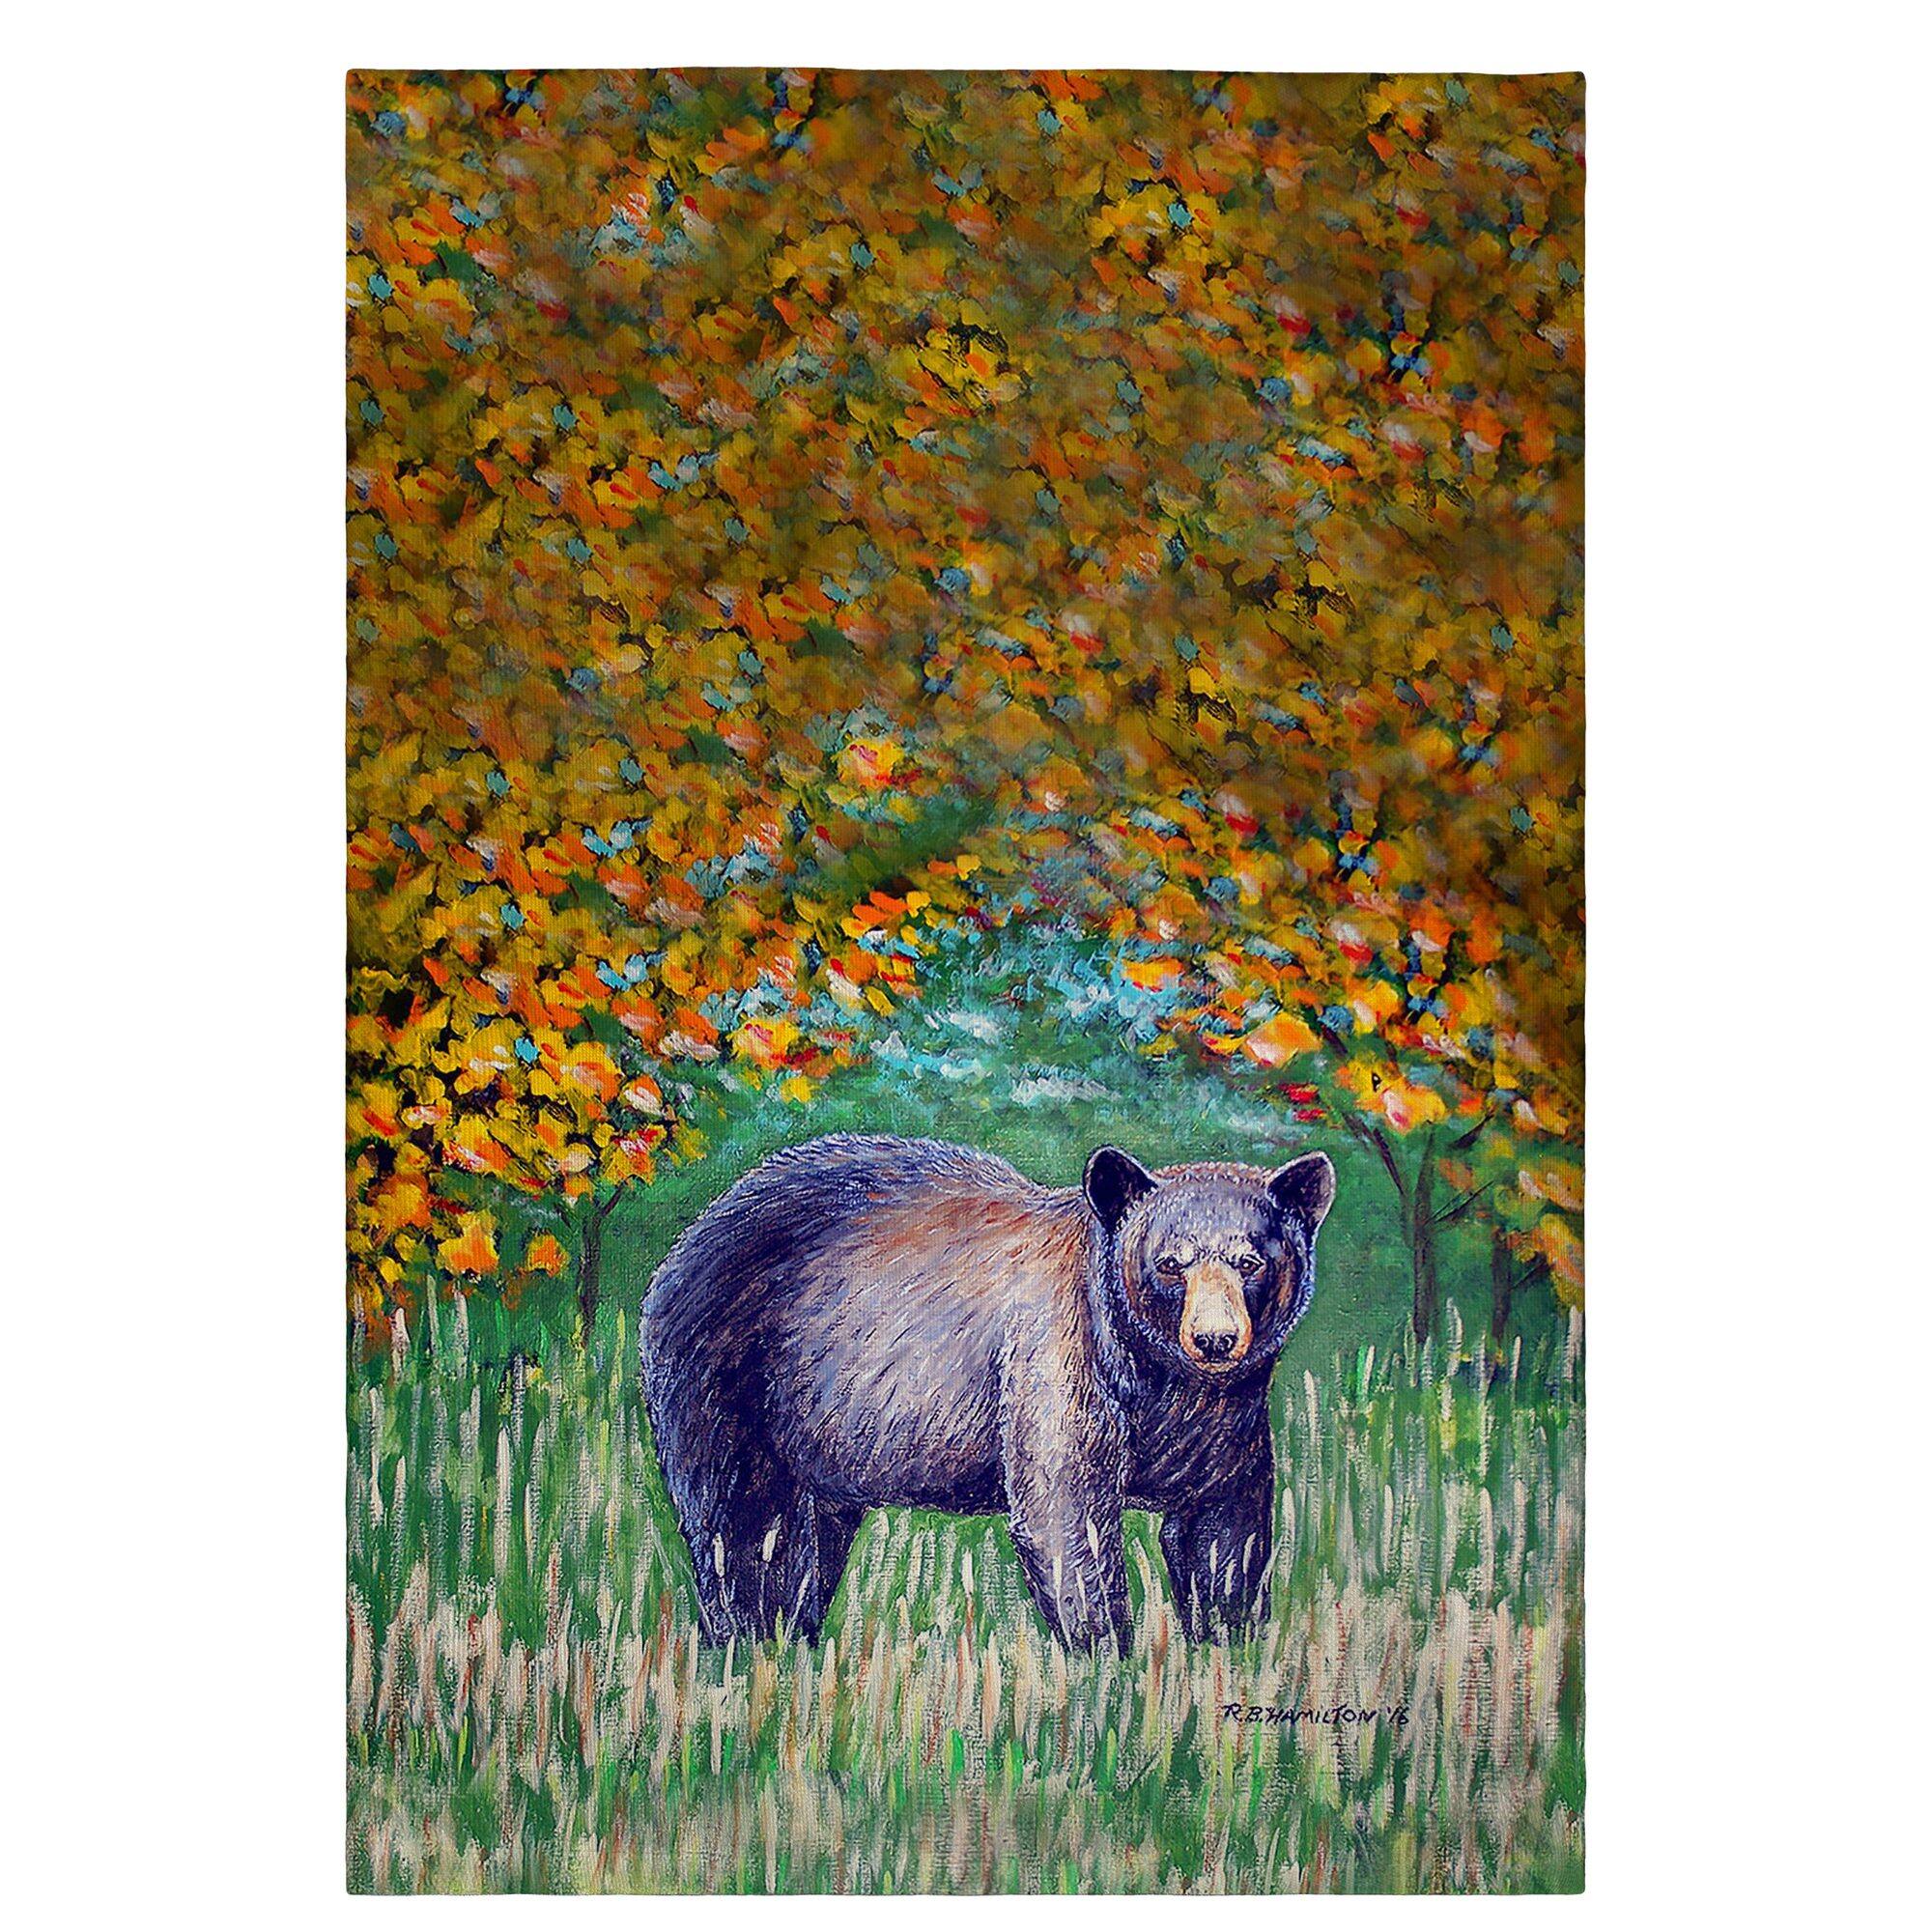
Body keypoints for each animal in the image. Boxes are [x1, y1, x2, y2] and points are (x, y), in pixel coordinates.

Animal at [638, 1132, 1336, 1649]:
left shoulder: (1226, 1422)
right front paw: (1110, 1666)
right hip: (723, 1377)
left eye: (1250, 1261)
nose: (1215, 1339)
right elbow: (1066, 1516)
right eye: (1171, 1262)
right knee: (741, 1530)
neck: (1164, 1379)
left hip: (817, 1444)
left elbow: (1225, 1532)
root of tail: (694, 1229)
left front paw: (1226, 1647)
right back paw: (749, 1648)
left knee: (806, 1548)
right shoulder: (1059, 1356)